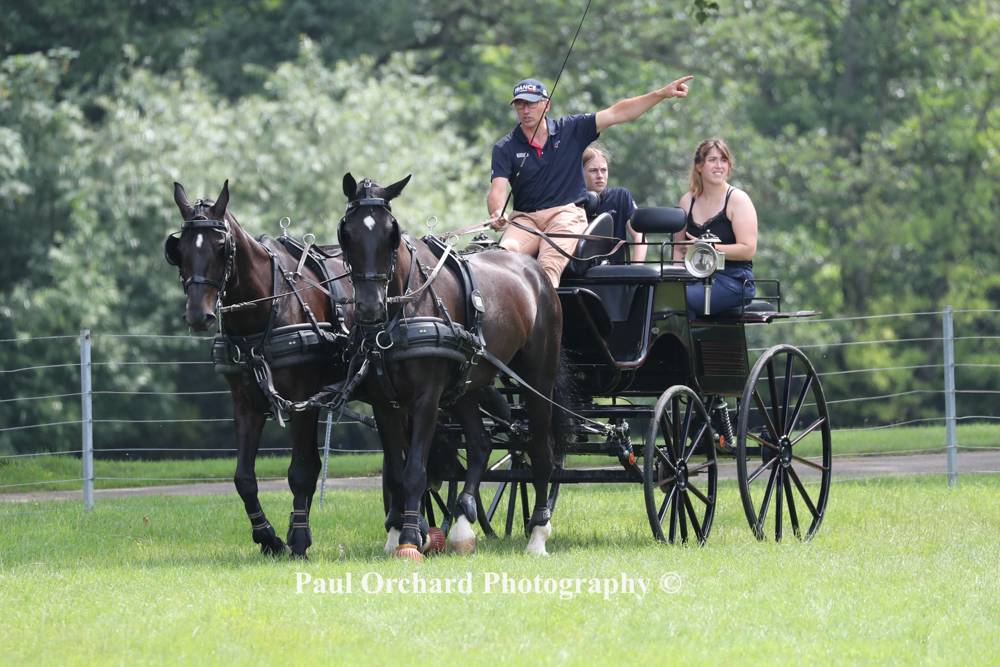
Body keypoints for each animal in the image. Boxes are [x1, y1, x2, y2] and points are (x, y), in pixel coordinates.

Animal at [164, 180, 352, 559]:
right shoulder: (247, 403)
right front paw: (269, 537)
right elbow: (244, 478)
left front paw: (298, 539)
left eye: (221, 246)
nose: (198, 315)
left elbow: (301, 470)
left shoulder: (303, 400)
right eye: (181, 250)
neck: (268, 304)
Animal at [338, 173, 566, 558]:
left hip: (538, 378)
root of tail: (534, 272)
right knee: (480, 445)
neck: (405, 307)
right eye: (346, 232)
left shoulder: (427, 399)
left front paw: (410, 539)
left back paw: (537, 534)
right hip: (466, 387)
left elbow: (415, 469)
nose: (369, 307)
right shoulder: (385, 404)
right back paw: (462, 525)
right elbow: (396, 472)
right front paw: (396, 532)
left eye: (391, 233)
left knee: (540, 452)